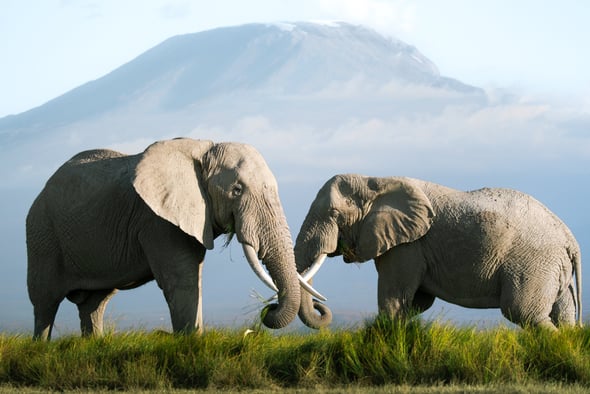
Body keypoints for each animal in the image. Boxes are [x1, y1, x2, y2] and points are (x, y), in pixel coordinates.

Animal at [26, 138, 324, 338]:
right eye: (237, 190)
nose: (268, 307)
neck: (204, 148)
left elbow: (194, 278)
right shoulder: (157, 220)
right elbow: (182, 280)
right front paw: (191, 343)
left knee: (94, 304)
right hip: (42, 234)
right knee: (44, 303)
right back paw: (41, 347)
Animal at [296, 174, 584, 330]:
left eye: (334, 214)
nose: (322, 306)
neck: (375, 181)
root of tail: (570, 240)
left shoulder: (408, 246)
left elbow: (393, 299)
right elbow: (417, 302)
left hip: (532, 263)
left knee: (523, 312)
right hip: (552, 266)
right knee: (563, 316)